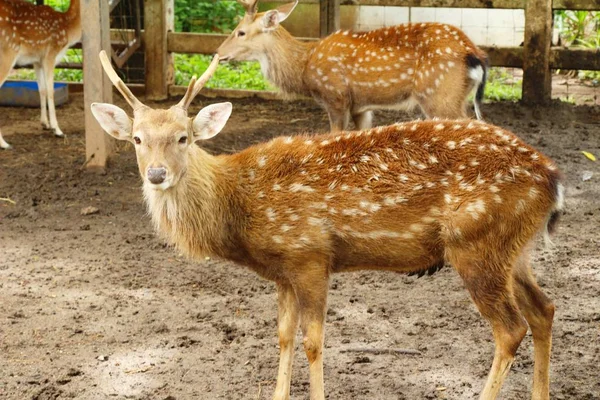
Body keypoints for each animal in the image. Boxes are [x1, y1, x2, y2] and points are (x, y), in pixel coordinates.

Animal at [0, 0, 80, 148]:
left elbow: (41, 90)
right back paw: (4, 144)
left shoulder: (37, 60)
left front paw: (45, 124)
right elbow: (50, 91)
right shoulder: (50, 54)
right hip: (8, 52)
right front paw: (57, 130)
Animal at [91, 50, 560, 400]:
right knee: (544, 309)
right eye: (137, 139)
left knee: (510, 329)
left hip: (476, 241)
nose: (157, 174)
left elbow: (313, 342)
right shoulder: (282, 271)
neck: (240, 207)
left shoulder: (310, 254)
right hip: (512, 248)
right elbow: (283, 336)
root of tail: (552, 179)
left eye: (183, 137)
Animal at [218, 0, 490, 133]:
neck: (305, 66)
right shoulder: (361, 106)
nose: (219, 54)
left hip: (438, 93)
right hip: (458, 95)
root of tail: (474, 53)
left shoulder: (336, 96)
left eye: (240, 32)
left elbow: (334, 136)